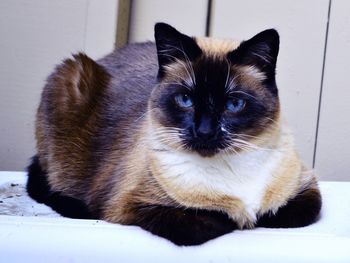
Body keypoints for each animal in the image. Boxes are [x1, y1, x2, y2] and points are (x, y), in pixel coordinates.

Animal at [26, 23, 322, 248]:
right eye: (185, 100)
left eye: (234, 104)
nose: (204, 131)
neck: (233, 169)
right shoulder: (134, 207)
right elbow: (217, 220)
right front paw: (239, 218)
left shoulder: (305, 191)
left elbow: (283, 213)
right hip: (70, 75)